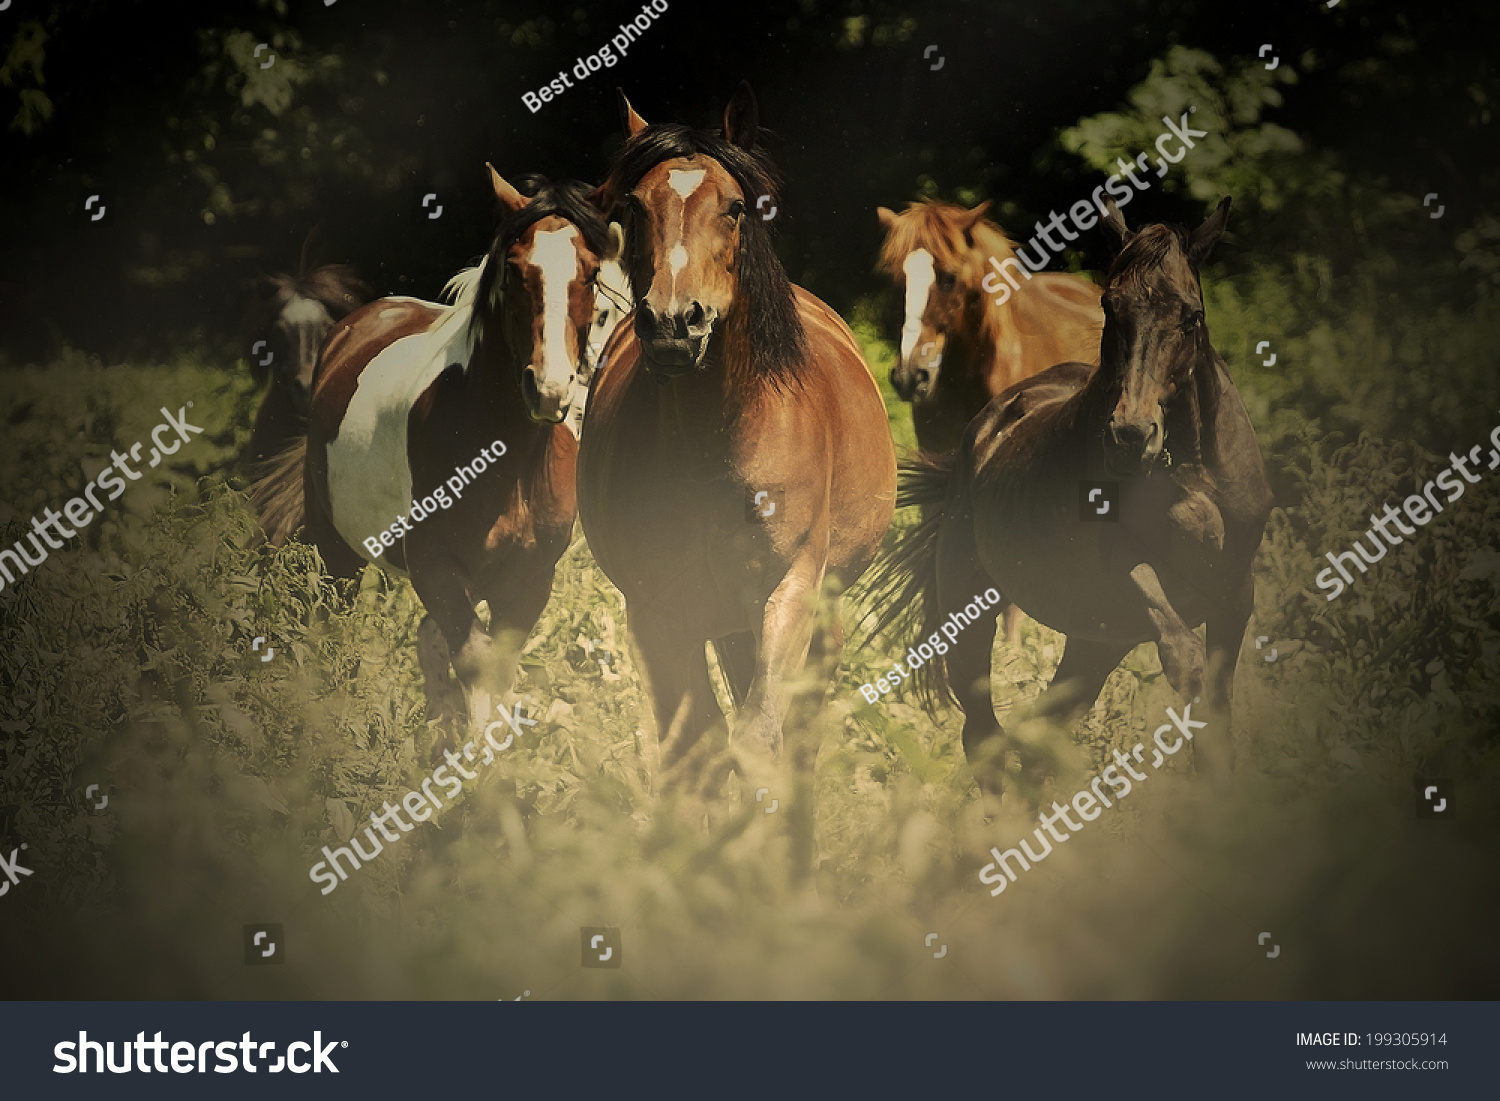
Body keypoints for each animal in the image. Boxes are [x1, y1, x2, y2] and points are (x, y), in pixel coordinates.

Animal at [261, 165, 606, 750]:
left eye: (591, 272)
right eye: (514, 270)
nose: (550, 389)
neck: (507, 465)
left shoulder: (530, 579)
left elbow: (493, 663)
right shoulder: (433, 565)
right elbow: (474, 660)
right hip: (339, 554)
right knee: (339, 625)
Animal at [579, 84, 894, 774]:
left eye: (735, 207)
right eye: (635, 207)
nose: (675, 324)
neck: (715, 447)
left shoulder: (789, 590)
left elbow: (758, 736)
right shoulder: (658, 612)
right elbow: (694, 744)